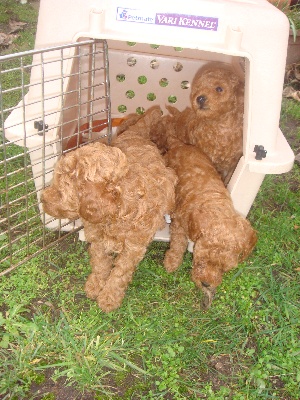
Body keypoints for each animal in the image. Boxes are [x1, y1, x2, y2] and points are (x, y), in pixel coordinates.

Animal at [39, 108, 176, 312]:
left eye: (61, 189)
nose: (42, 199)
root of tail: (135, 134)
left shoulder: (133, 248)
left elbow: (120, 273)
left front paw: (109, 298)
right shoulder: (97, 239)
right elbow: (100, 264)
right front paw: (95, 285)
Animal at [163, 134, 256, 310]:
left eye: (224, 268)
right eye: (201, 259)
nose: (206, 284)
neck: (214, 204)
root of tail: (178, 144)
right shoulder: (179, 222)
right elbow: (178, 244)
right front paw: (171, 262)